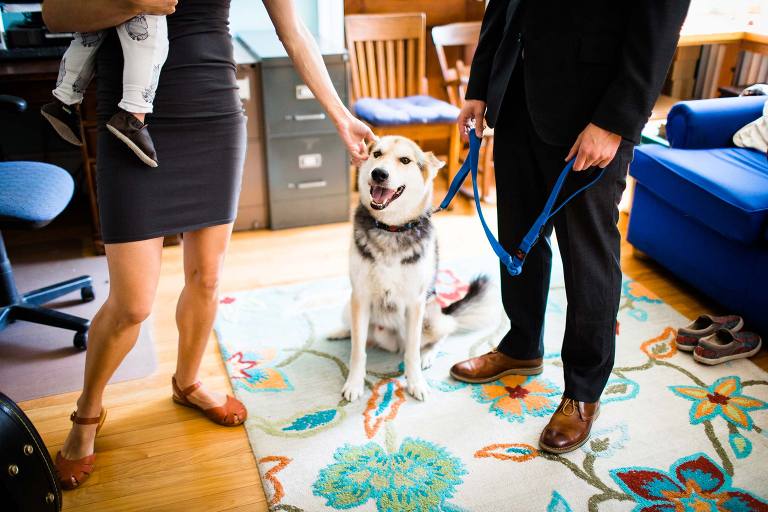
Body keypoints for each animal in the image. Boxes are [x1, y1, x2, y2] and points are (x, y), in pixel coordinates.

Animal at [332, 137, 496, 404]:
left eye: (405, 160)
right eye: (376, 154)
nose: (379, 174)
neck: (390, 228)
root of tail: (391, 343)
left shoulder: (415, 303)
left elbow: (412, 353)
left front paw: (416, 382)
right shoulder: (360, 297)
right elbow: (358, 351)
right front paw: (354, 383)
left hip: (431, 317)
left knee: (443, 332)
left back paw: (428, 355)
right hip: (350, 306)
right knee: (359, 335)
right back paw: (340, 332)